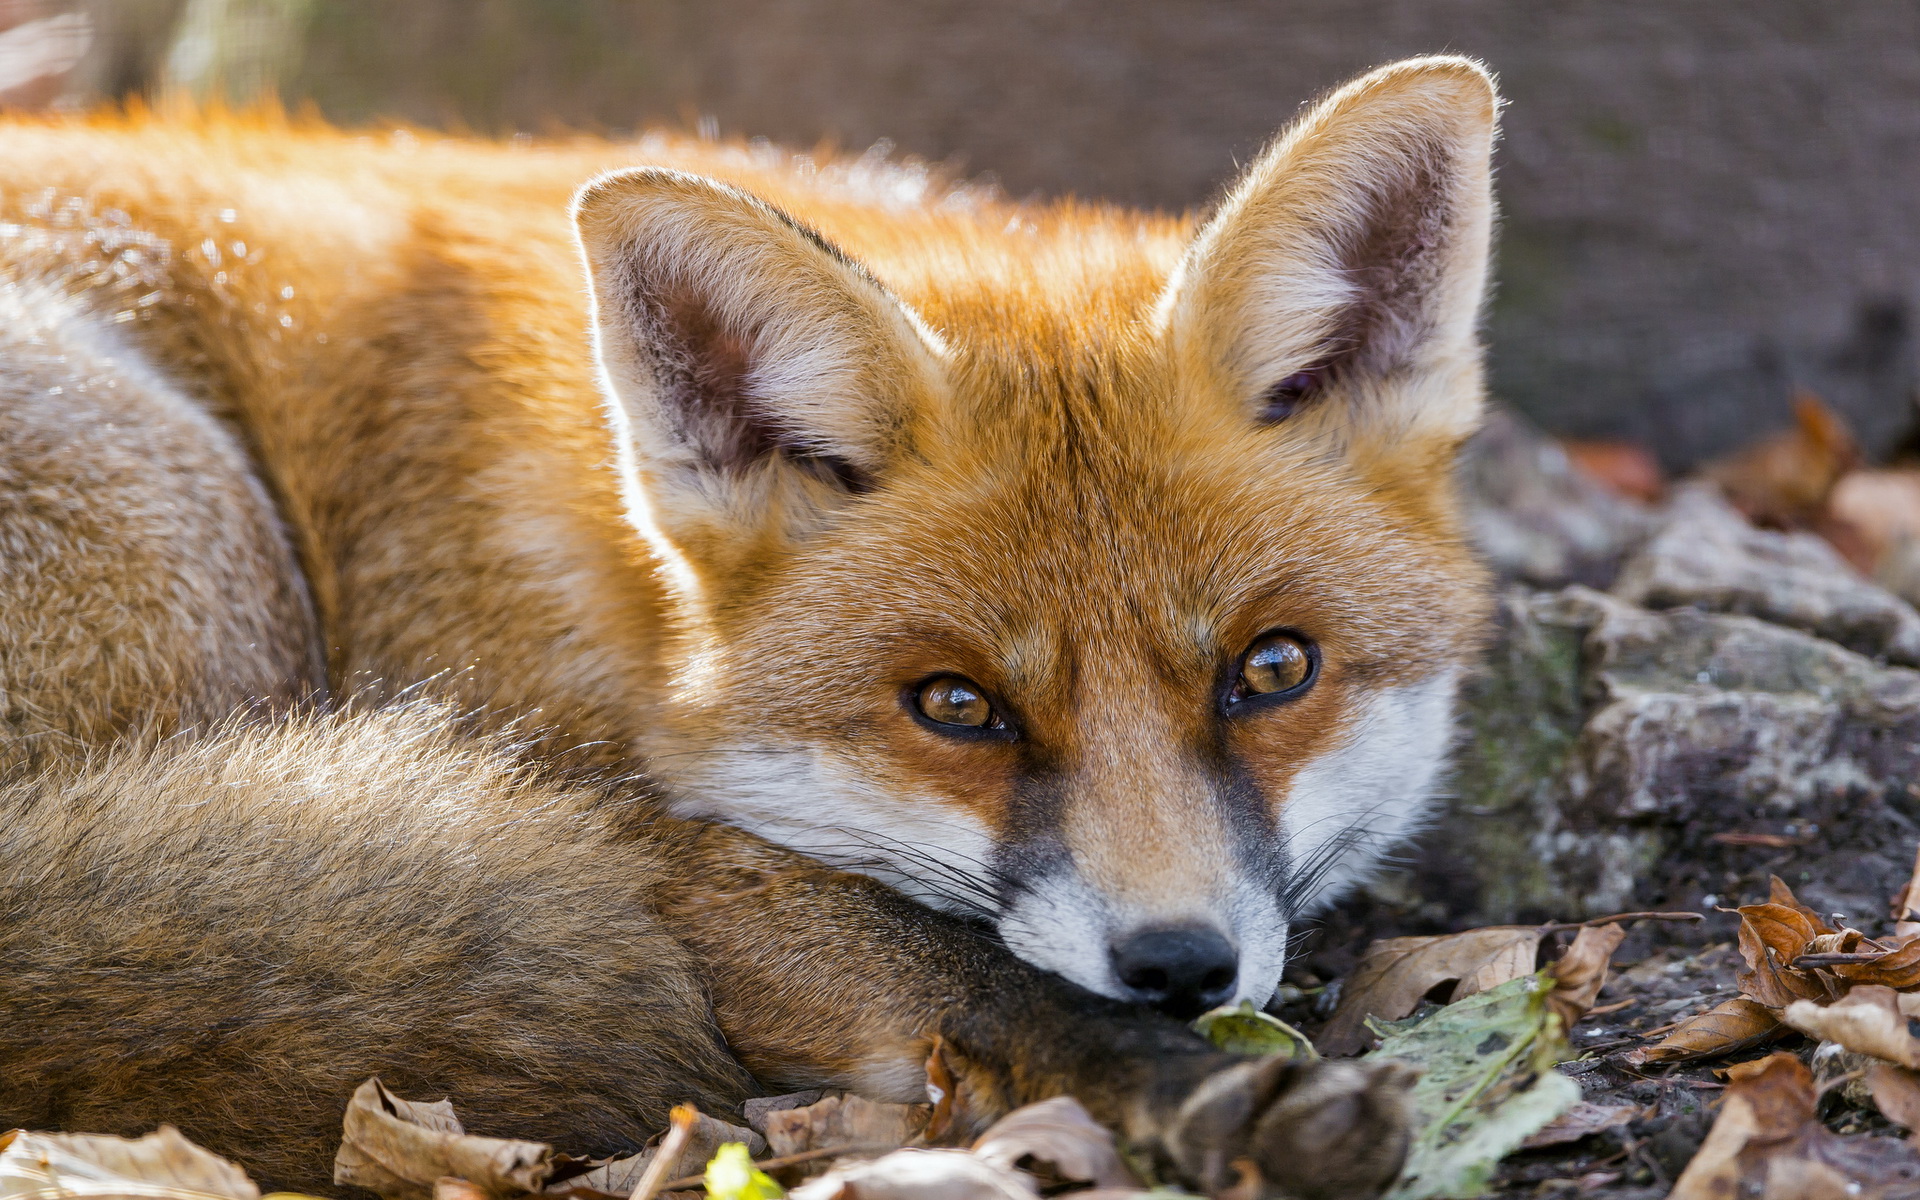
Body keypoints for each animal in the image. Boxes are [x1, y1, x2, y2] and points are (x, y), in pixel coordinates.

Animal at [0, 56, 1497, 1198]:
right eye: (956, 707)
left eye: (1272, 669)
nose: (1178, 963)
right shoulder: (616, 820)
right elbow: (960, 965)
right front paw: (1214, 1101)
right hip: (207, 547)